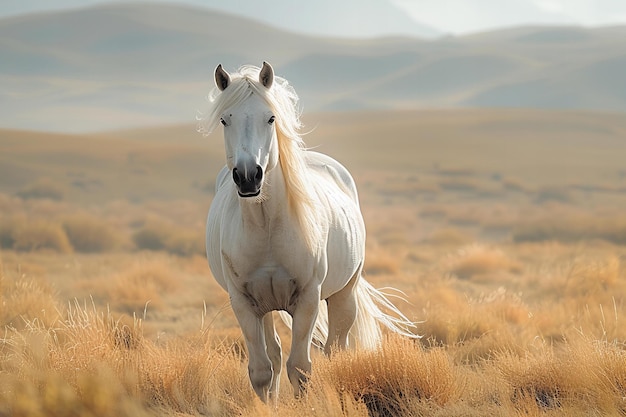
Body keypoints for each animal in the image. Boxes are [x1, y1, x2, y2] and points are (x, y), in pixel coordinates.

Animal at [201, 61, 414, 400]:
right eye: (224, 119)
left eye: (271, 117)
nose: (248, 176)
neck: (267, 228)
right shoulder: (244, 303)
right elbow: (261, 371)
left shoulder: (308, 299)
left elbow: (300, 370)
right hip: (266, 309)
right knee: (274, 355)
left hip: (344, 294)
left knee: (336, 349)